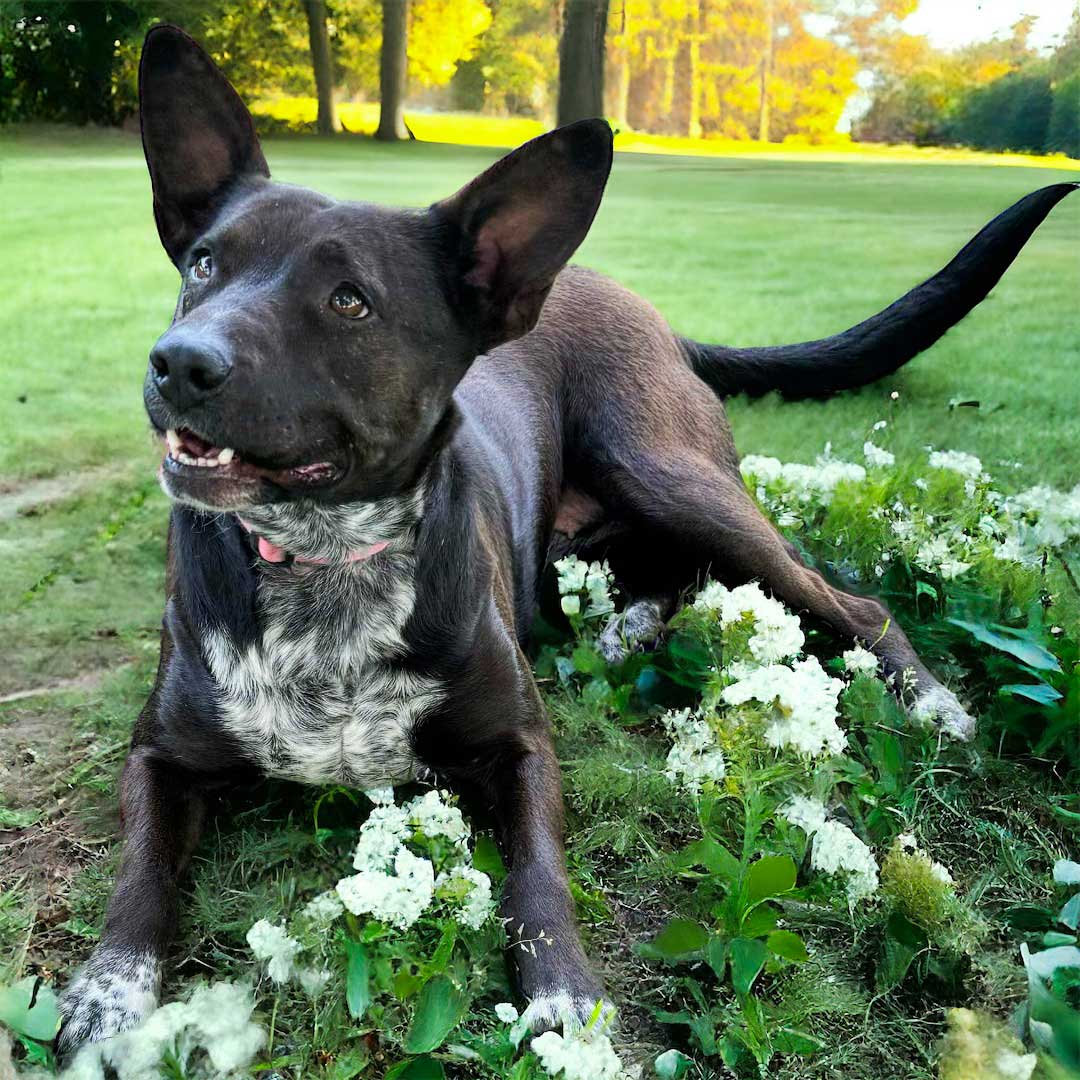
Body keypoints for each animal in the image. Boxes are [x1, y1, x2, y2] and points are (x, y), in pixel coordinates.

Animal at [56, 23, 1071, 1062]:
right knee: (676, 572)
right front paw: (108, 992)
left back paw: (930, 700)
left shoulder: (521, 747)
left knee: (842, 597)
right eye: (203, 264)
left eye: (348, 301)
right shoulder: (160, 755)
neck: (325, 562)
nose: (178, 363)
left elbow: (539, 876)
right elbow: (139, 874)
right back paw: (630, 627)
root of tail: (648, 312)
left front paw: (562, 1001)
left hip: (666, 471)